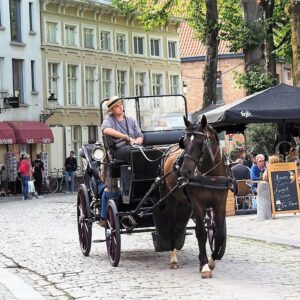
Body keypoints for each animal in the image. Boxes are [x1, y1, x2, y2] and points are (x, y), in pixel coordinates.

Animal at [159, 114, 230, 276]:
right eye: (184, 142)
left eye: (200, 143)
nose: (184, 172)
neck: (210, 175)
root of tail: (167, 150)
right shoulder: (198, 204)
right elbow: (201, 233)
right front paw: (204, 265)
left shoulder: (220, 203)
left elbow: (219, 234)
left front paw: (211, 261)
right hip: (171, 198)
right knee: (172, 225)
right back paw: (173, 258)